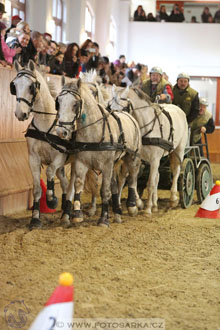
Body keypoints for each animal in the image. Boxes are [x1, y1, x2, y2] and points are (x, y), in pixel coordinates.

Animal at [55, 79, 142, 227]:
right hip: (115, 163)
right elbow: (78, 184)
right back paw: (117, 213)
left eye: (75, 104)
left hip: (132, 157)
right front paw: (77, 214)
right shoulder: (81, 163)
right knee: (116, 185)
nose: (61, 132)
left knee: (132, 178)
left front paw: (103, 219)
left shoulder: (106, 166)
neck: (93, 133)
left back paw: (132, 206)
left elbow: (104, 191)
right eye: (58, 102)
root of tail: (130, 117)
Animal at [109, 85, 187, 214]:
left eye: (122, 108)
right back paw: (155, 204)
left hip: (178, 150)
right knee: (157, 177)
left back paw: (173, 199)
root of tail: (178, 108)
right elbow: (133, 180)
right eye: (109, 107)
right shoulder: (137, 157)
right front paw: (139, 203)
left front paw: (147, 209)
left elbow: (149, 183)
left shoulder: (154, 159)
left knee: (176, 172)